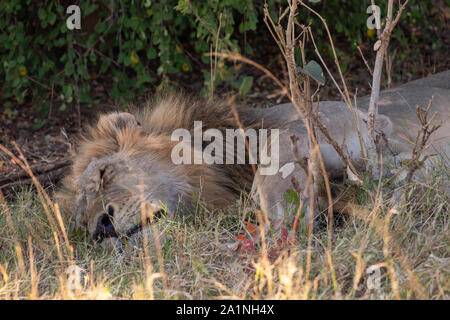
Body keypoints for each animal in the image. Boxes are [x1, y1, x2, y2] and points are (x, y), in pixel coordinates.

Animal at [57, 71, 450, 244]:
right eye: (80, 223)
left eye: (103, 174)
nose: (100, 228)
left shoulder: (352, 121)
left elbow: (278, 144)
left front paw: (281, 206)